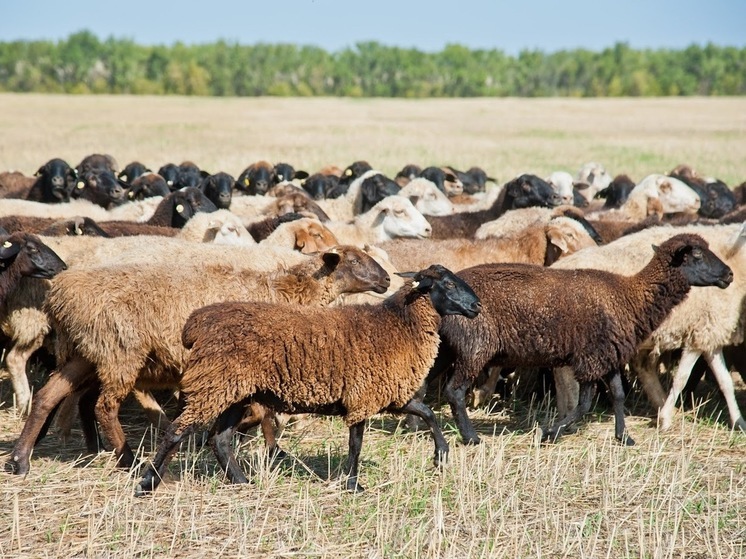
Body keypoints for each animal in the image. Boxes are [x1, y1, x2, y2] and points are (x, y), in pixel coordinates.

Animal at [424, 234, 732, 448]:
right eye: (696, 255)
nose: (729, 274)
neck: (630, 298)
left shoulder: (609, 356)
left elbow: (618, 395)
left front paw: (624, 438)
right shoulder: (590, 358)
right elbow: (583, 406)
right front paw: (550, 432)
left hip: (445, 350)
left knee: (424, 383)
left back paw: (419, 425)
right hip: (474, 348)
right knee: (454, 391)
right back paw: (471, 437)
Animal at [548, 223, 744, 434]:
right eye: (698, 254)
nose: (728, 275)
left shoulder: (710, 334)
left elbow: (726, 382)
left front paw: (739, 422)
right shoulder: (699, 334)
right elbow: (681, 378)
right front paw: (665, 419)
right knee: (567, 378)